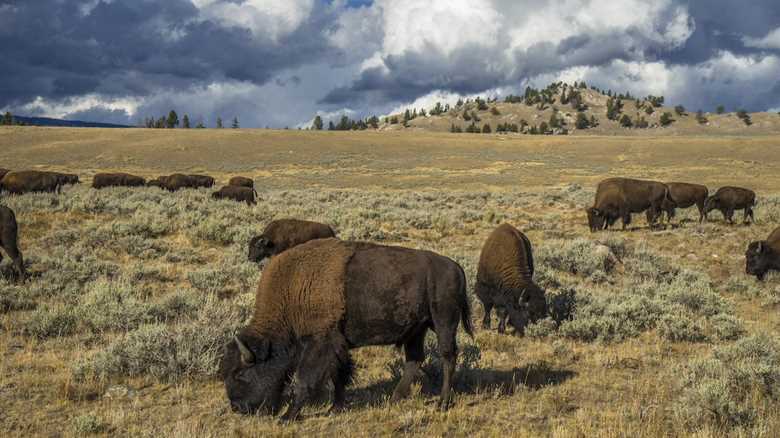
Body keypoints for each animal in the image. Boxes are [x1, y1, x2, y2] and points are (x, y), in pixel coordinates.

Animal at [221, 238, 473, 419]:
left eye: (240, 373)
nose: (237, 407)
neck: (293, 292)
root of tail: (455, 266)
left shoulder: (320, 343)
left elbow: (306, 380)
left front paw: (288, 416)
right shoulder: (338, 345)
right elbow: (339, 375)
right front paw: (335, 408)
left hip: (443, 322)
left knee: (448, 355)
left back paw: (442, 403)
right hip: (416, 329)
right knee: (414, 359)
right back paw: (394, 399)